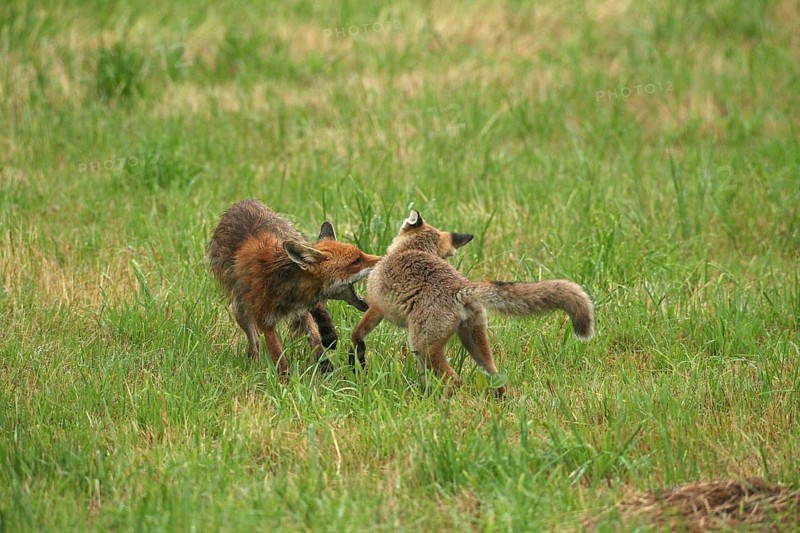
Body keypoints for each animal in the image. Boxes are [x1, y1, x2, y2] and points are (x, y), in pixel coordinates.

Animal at [207, 199, 381, 374]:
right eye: (356, 261)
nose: (383, 258)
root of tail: (243, 202)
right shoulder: (265, 321)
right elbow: (279, 357)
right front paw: (286, 380)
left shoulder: (302, 310)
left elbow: (315, 340)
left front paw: (326, 368)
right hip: (240, 310)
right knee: (254, 341)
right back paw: (254, 361)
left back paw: (329, 336)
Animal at [350, 209, 594, 397]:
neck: (412, 248)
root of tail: (460, 288)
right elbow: (422, 377)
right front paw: (424, 394)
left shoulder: (377, 307)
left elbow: (358, 333)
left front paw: (355, 354)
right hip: (472, 342)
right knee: (496, 376)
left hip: (424, 346)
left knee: (456, 380)